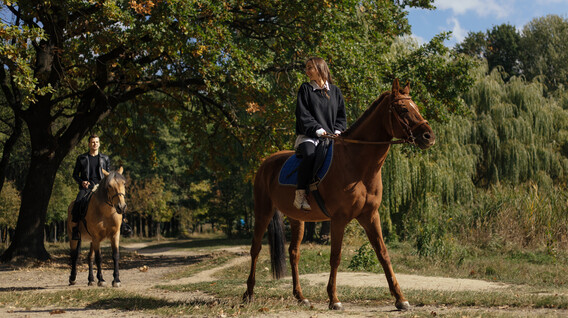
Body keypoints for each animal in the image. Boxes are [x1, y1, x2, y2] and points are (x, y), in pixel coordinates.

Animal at [243, 79, 434, 310]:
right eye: (403, 109)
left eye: (416, 107)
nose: (429, 136)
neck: (357, 164)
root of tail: (266, 163)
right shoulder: (339, 219)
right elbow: (335, 257)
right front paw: (334, 299)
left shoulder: (370, 216)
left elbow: (383, 254)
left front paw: (400, 298)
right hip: (263, 212)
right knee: (255, 250)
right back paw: (249, 294)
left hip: (297, 219)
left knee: (294, 253)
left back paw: (300, 296)